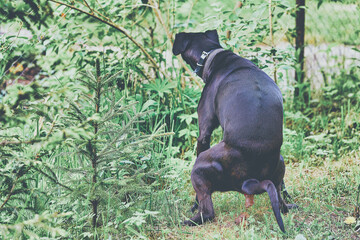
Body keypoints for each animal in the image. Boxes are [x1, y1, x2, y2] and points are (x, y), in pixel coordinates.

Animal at [173, 30, 296, 232]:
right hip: (280, 161)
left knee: (208, 213)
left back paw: (186, 221)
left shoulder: (204, 132)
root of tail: (250, 182)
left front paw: (193, 204)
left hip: (199, 167)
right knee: (281, 203)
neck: (213, 55)